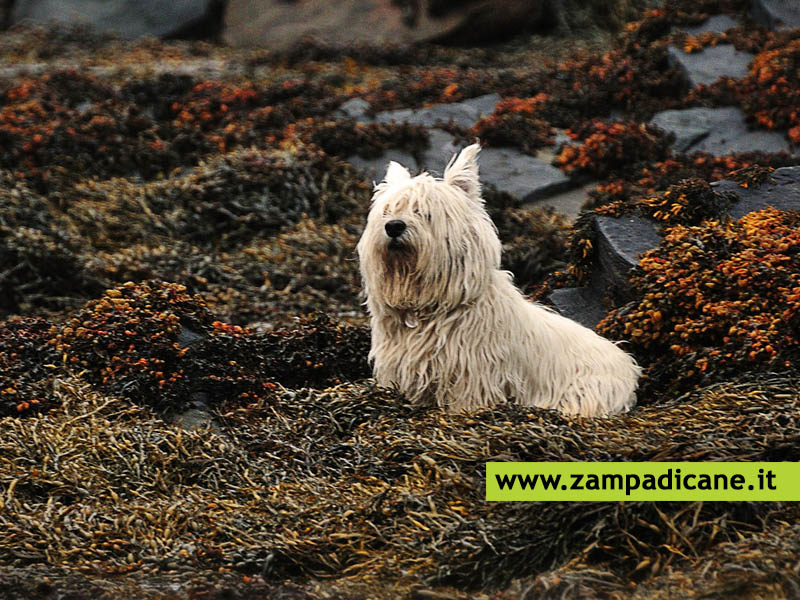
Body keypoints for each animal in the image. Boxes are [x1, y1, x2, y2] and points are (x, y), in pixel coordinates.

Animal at [356, 144, 636, 418]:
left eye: (425, 212)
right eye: (387, 211)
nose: (393, 226)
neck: (428, 307)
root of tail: (630, 366)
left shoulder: (472, 375)